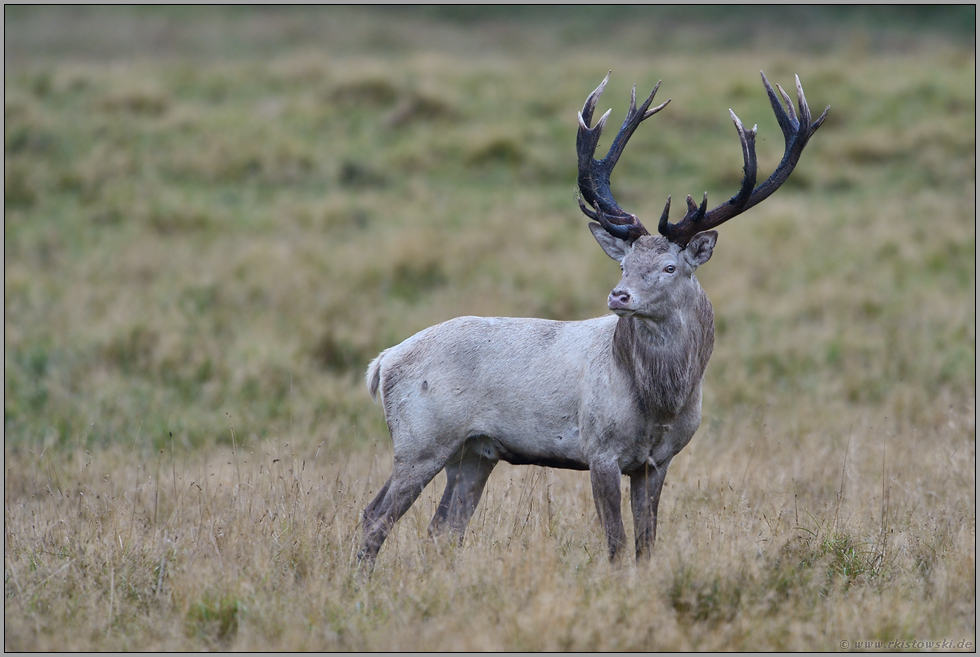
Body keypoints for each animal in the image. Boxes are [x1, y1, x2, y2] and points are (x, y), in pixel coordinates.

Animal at [356, 70, 824, 564]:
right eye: (624, 264)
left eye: (669, 267)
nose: (618, 296)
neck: (661, 400)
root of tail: (383, 362)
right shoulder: (599, 448)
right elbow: (616, 543)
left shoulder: (660, 460)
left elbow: (646, 542)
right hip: (421, 438)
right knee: (377, 514)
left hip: (473, 452)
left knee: (444, 527)